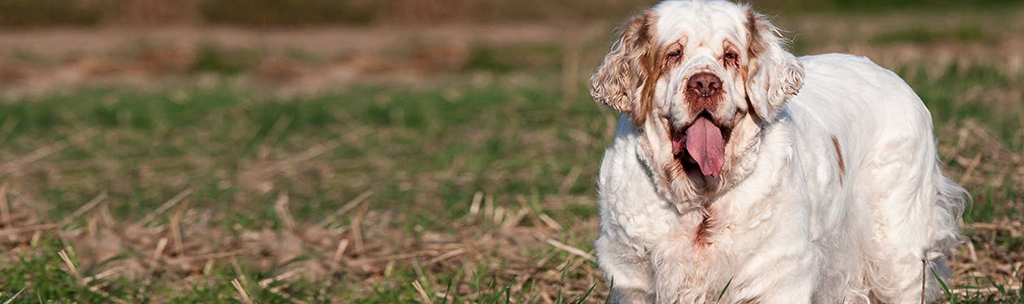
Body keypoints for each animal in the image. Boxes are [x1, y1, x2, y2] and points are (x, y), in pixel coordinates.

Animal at [589, 1, 962, 300]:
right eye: (673, 54)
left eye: (730, 56)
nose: (705, 83)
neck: (703, 201)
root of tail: (893, 76)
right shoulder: (634, 279)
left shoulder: (776, 274)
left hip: (895, 249)